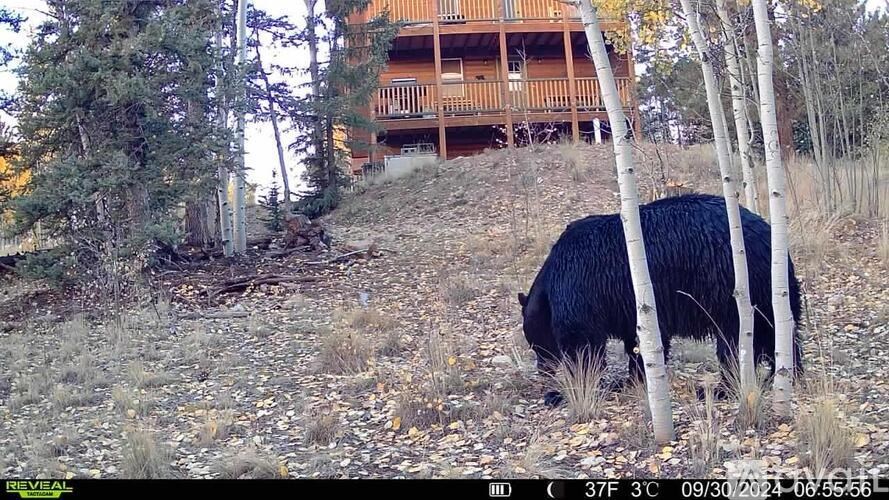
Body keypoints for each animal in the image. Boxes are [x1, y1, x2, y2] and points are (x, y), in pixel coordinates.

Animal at [517, 193, 803, 406]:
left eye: (536, 345)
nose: (543, 371)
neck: (553, 281)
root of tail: (768, 237)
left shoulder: (581, 291)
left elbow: (583, 346)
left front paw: (570, 389)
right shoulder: (627, 306)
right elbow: (636, 341)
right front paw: (632, 378)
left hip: (731, 290)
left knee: (735, 342)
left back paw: (720, 388)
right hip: (765, 293)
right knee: (775, 332)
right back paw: (785, 373)